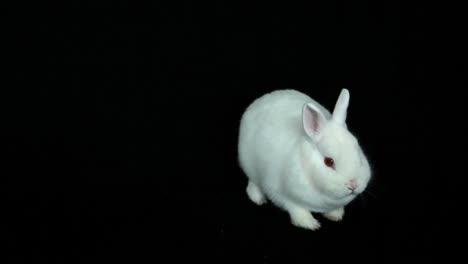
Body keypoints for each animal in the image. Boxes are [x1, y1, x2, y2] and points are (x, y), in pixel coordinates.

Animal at [239, 88, 372, 229]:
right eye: (329, 162)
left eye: (359, 155)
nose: (353, 185)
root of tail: (262, 99)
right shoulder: (281, 193)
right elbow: (297, 209)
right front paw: (310, 224)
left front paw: (335, 216)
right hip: (249, 166)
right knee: (253, 183)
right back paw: (258, 198)